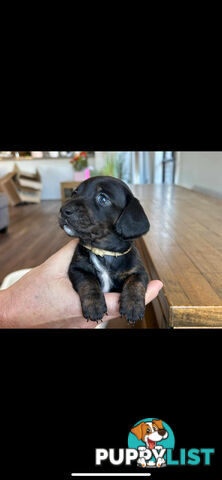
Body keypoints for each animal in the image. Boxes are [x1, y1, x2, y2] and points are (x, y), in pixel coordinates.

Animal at [58, 174, 149, 324]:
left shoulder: (140, 271)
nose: (64, 210)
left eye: (103, 198)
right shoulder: (77, 269)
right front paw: (94, 305)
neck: (103, 251)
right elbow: (88, 281)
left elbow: (135, 282)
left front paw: (133, 306)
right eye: (74, 193)